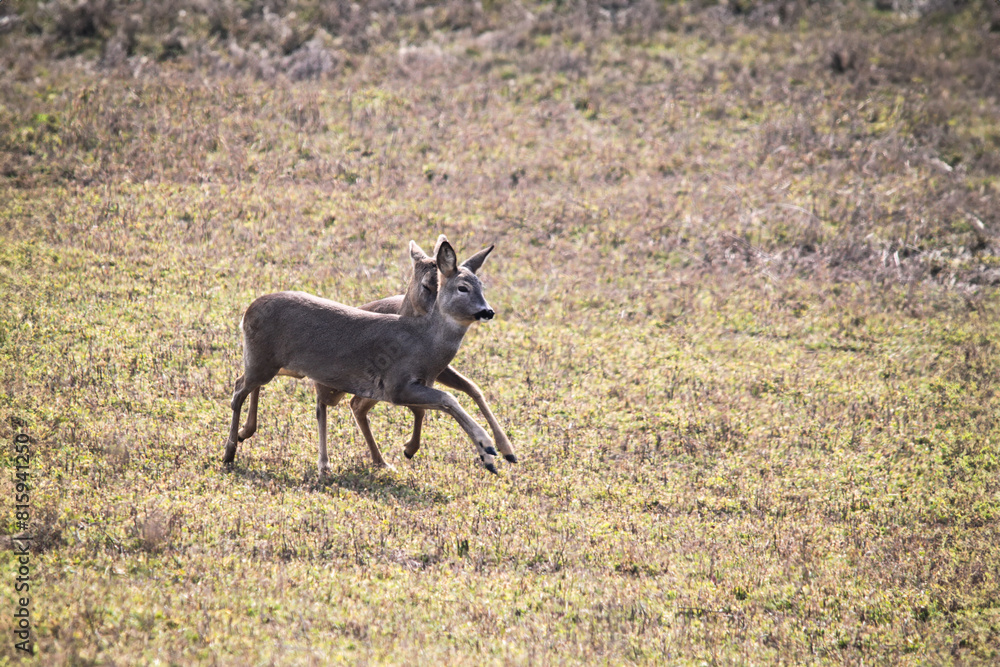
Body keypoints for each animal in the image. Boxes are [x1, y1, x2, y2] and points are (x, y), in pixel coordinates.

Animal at [223, 237, 510, 475]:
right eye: (462, 287)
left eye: (482, 286)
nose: (488, 311)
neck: (423, 343)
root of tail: (246, 311)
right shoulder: (396, 384)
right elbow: (448, 399)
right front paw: (488, 449)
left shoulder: (415, 384)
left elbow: (451, 398)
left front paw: (499, 452)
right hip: (264, 362)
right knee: (239, 391)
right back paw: (230, 453)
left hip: (277, 365)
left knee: (245, 383)